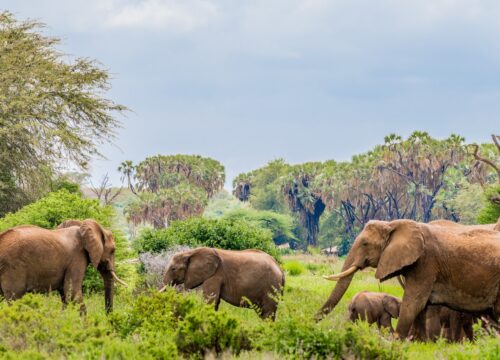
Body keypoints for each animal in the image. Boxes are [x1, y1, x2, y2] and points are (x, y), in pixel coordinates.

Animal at [316, 218, 500, 338]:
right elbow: (421, 307)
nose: (313, 322)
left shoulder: (426, 263)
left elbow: (413, 303)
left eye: (365, 244)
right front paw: (421, 344)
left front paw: (397, 342)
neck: (392, 224)